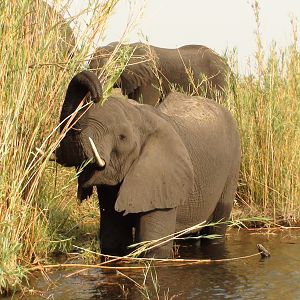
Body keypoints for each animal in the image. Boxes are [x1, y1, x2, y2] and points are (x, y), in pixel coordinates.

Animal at [53, 70, 241, 258]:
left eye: (122, 137)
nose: (96, 96)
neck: (139, 114)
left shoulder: (163, 179)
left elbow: (153, 246)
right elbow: (113, 240)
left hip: (233, 164)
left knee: (216, 229)